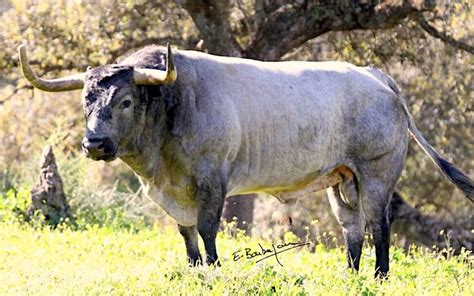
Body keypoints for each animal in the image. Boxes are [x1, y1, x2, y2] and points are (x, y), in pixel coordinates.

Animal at [18, 44, 474, 278]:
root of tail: (373, 75)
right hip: (341, 179)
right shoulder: (175, 192)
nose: (94, 143)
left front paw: (215, 270)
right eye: (85, 100)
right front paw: (194, 271)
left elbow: (206, 228)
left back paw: (379, 277)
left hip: (377, 174)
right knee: (353, 228)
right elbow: (186, 234)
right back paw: (351, 277)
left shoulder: (211, 181)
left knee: (379, 224)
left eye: (126, 100)